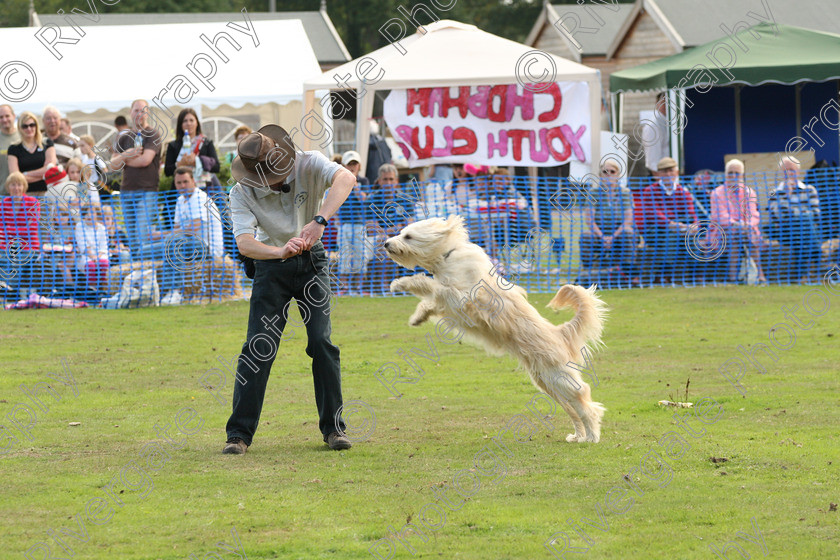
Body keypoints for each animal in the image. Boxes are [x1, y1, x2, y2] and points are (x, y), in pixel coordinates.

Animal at [384, 214, 608, 442]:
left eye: (408, 236)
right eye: (402, 233)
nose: (386, 243)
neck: (447, 256)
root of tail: (560, 333)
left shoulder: (463, 298)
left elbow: (433, 286)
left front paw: (401, 284)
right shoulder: (451, 304)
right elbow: (431, 300)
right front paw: (418, 316)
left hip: (560, 378)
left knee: (586, 404)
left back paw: (591, 437)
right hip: (547, 383)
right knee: (573, 409)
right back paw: (578, 435)